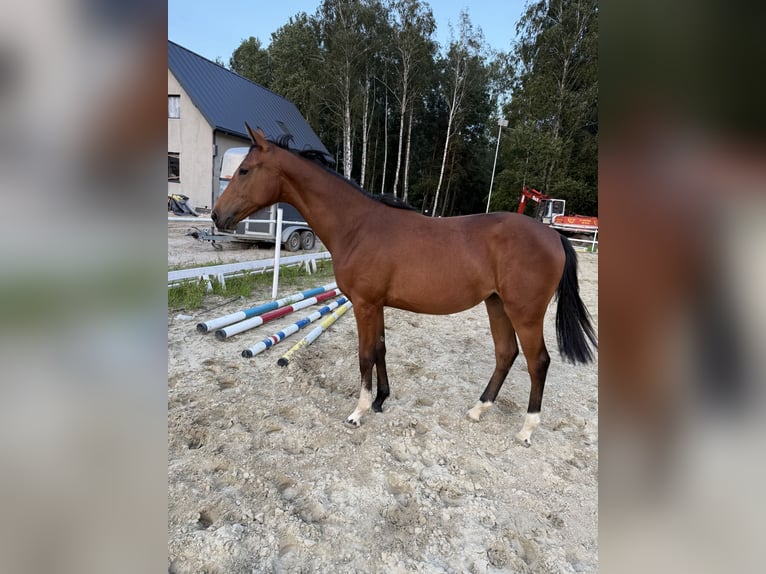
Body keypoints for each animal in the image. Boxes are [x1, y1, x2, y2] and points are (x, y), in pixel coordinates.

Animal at [212, 123, 597, 446]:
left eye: (245, 170)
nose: (217, 215)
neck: (357, 225)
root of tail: (553, 235)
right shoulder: (376, 305)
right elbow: (381, 349)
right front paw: (381, 400)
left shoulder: (364, 304)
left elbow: (365, 354)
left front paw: (358, 411)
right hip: (497, 304)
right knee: (506, 354)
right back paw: (478, 409)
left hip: (524, 313)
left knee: (538, 362)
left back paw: (527, 430)